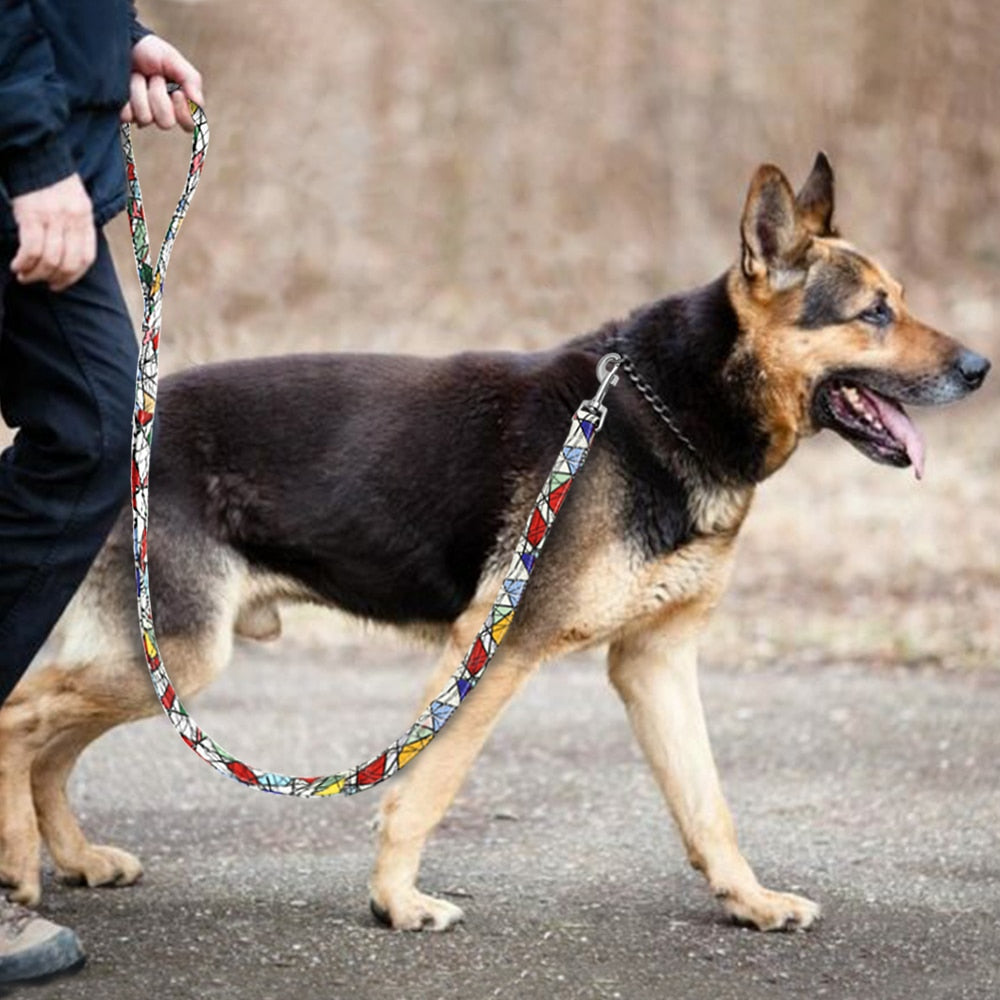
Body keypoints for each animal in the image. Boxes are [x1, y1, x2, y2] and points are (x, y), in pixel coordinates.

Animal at [0, 154, 984, 928]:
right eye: (875, 313)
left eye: (899, 303)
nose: (980, 368)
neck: (664, 406)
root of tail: (122, 431)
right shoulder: (498, 648)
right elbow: (425, 790)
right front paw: (397, 904)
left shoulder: (656, 663)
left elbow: (709, 805)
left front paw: (750, 901)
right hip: (180, 656)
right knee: (19, 718)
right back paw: (21, 869)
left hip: (159, 662)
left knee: (52, 743)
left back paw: (76, 858)